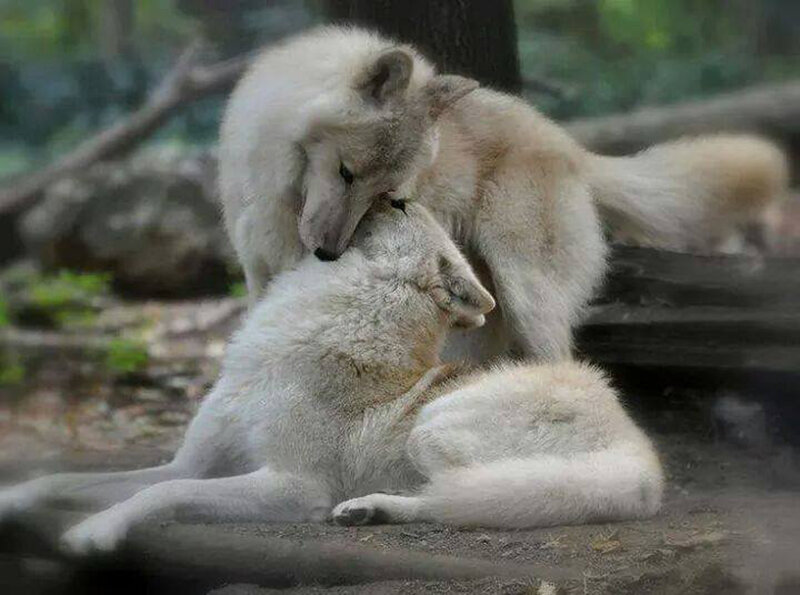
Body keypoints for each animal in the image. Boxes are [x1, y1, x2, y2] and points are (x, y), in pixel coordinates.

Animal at [0, 202, 661, 553]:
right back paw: (369, 512)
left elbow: (160, 494)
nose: (389, 194)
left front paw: (96, 530)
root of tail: (643, 458)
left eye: (403, 207)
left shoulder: (294, 486)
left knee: (457, 499)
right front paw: (15, 499)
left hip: (431, 429)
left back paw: (368, 508)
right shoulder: (189, 461)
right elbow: (69, 479)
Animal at [219, 26, 788, 362]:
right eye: (346, 174)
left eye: (390, 197)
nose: (328, 254)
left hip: (527, 295)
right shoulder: (258, 271)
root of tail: (571, 147)